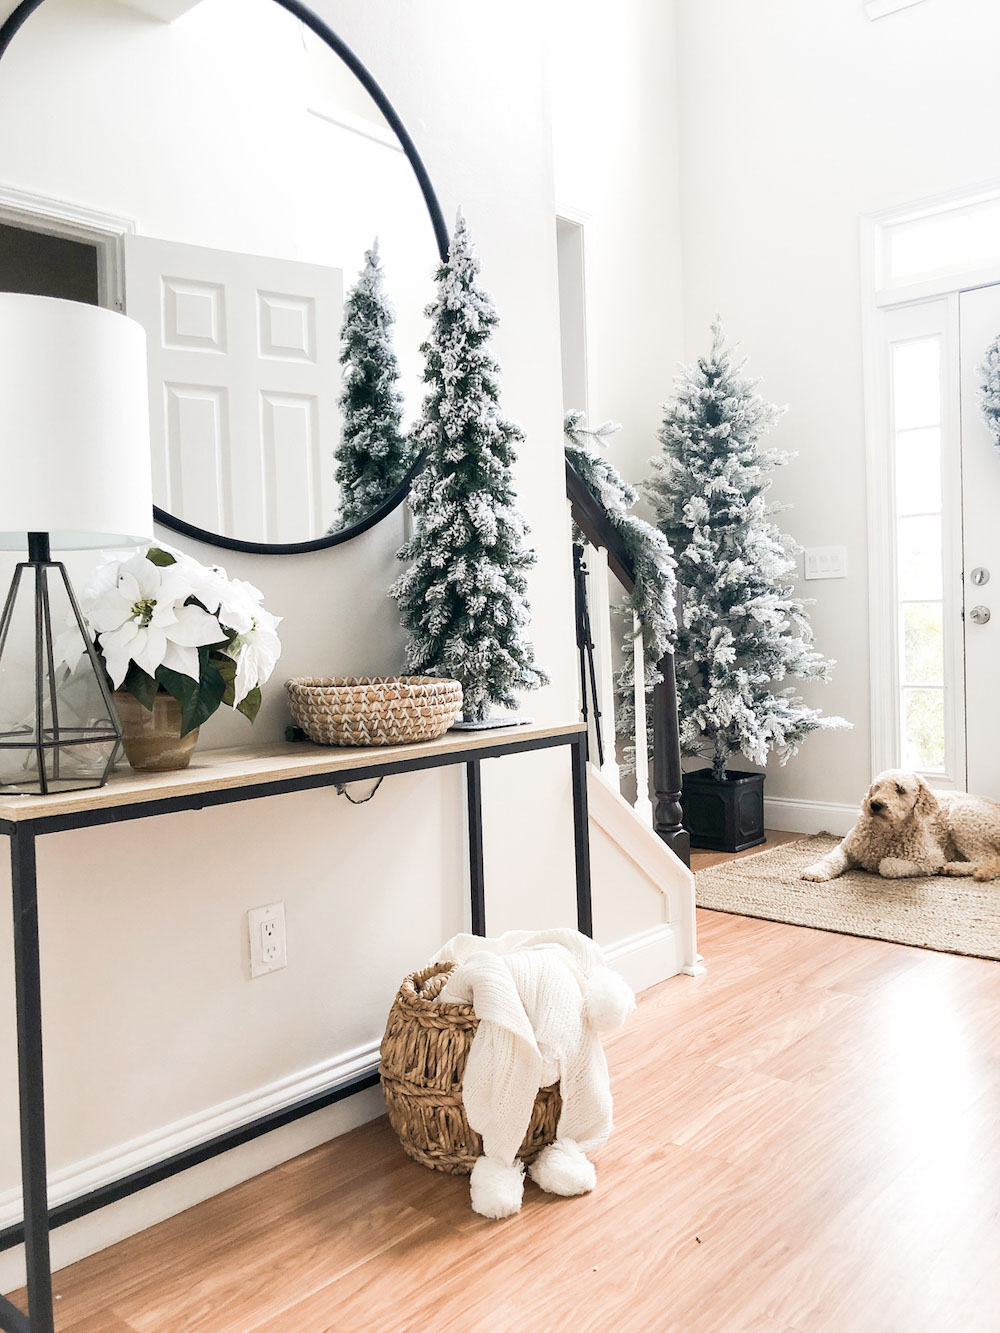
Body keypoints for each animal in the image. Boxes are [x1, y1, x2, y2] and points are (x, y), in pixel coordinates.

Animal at [805, 773, 1000, 885]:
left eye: (900, 789)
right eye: (877, 787)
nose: (875, 804)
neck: (886, 832)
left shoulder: (931, 858)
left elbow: (887, 865)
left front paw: (879, 865)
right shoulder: (847, 848)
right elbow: (832, 859)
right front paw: (815, 871)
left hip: (963, 817)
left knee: (989, 860)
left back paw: (954, 868)